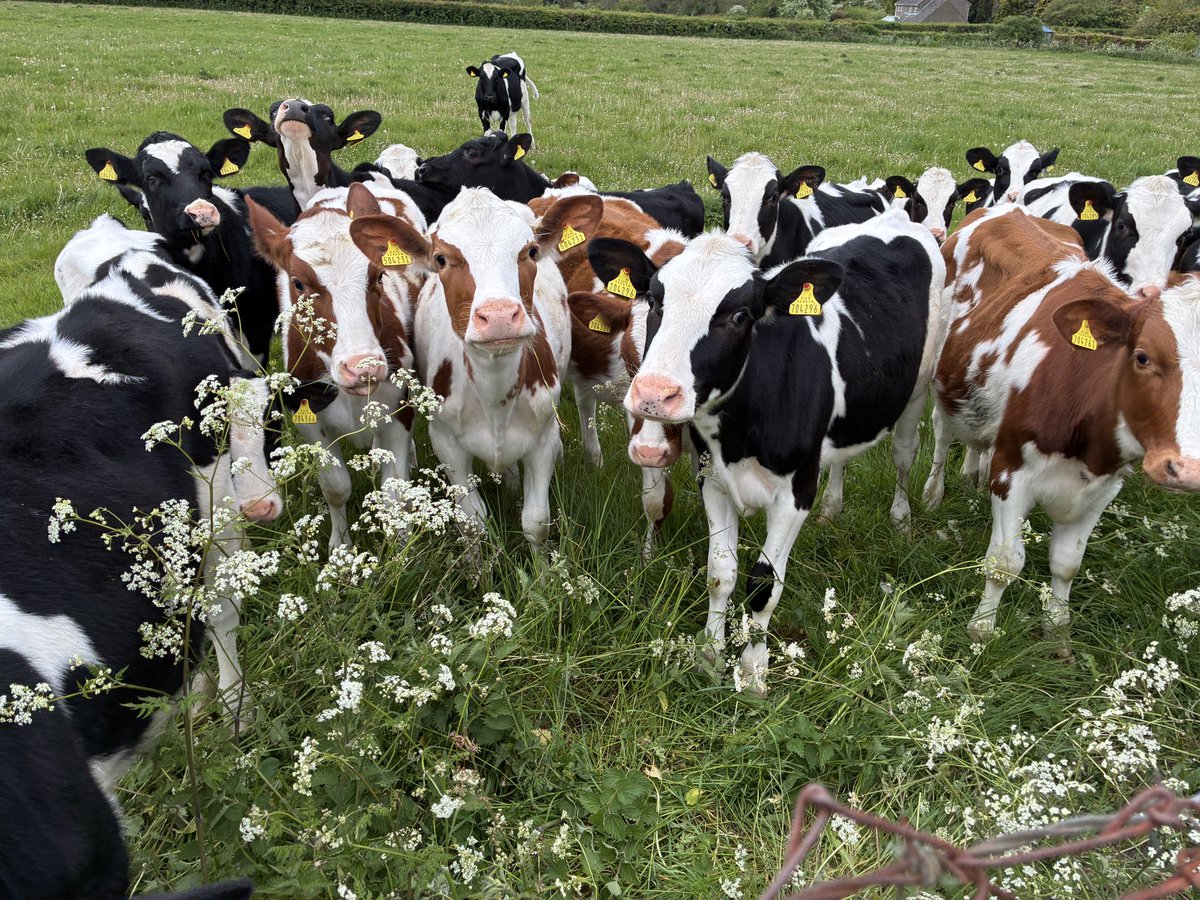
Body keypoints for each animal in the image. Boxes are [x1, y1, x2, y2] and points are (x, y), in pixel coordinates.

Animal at [246, 181, 426, 549]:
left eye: (378, 275)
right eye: (299, 283)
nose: (363, 367)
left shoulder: (398, 409)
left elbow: (394, 492)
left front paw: (401, 546)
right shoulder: (309, 420)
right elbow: (335, 487)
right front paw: (340, 545)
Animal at [349, 189, 604, 546]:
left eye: (530, 251)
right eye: (441, 259)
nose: (498, 316)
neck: (495, 393)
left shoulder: (543, 439)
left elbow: (536, 522)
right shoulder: (447, 444)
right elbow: (472, 522)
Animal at [615, 210, 945, 693]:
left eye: (739, 315)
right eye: (655, 301)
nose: (655, 394)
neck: (741, 432)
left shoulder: (794, 494)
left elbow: (763, 587)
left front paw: (753, 674)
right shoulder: (712, 479)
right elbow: (720, 573)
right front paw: (710, 655)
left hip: (917, 390)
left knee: (904, 456)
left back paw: (901, 519)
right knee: (841, 458)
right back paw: (832, 509)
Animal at [933, 206, 1200, 648]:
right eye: (1142, 357)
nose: (1188, 470)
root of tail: (1007, 207)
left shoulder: (1103, 488)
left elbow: (1067, 564)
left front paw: (1058, 633)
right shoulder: (1011, 471)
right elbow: (1004, 562)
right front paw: (982, 630)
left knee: (978, 439)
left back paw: (972, 473)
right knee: (941, 435)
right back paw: (932, 494)